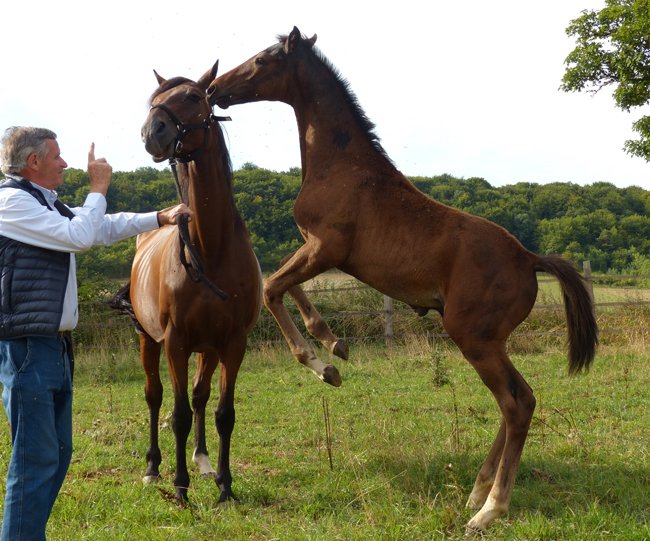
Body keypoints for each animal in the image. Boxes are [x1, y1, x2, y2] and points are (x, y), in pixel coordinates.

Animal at [131, 61, 262, 503]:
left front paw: (225, 486)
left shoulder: (233, 342)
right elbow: (178, 415)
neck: (211, 247)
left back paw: (203, 461)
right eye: (154, 100)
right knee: (155, 397)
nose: (151, 132)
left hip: (208, 349)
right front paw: (180, 487)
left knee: (201, 396)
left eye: (193, 96)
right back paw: (153, 468)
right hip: (148, 339)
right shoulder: (175, 341)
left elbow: (223, 412)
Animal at [207, 28, 598, 532]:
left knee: (517, 403)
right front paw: (334, 343)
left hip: (472, 337)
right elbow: (283, 282)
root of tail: (529, 258)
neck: (341, 165)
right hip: (490, 340)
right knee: (518, 399)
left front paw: (324, 365)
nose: (215, 89)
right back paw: (477, 491)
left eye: (261, 60)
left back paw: (489, 509)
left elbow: (273, 286)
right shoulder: (312, 248)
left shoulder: (325, 248)